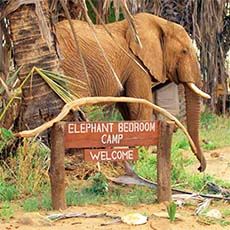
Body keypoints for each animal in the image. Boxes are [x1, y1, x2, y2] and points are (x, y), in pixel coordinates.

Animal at [55, 12, 210, 171]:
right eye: (184, 51)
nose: (200, 168)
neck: (160, 23)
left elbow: (128, 109)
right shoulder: (137, 66)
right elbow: (141, 107)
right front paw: (140, 159)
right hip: (72, 67)